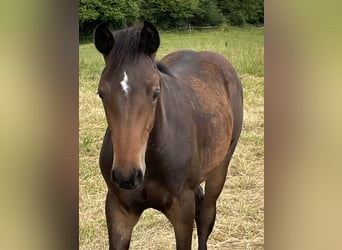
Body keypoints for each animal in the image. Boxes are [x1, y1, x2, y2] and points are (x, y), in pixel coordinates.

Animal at [93, 20, 243, 249]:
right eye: (102, 93)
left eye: (155, 93)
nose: (127, 175)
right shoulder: (118, 210)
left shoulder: (182, 209)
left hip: (220, 167)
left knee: (206, 214)